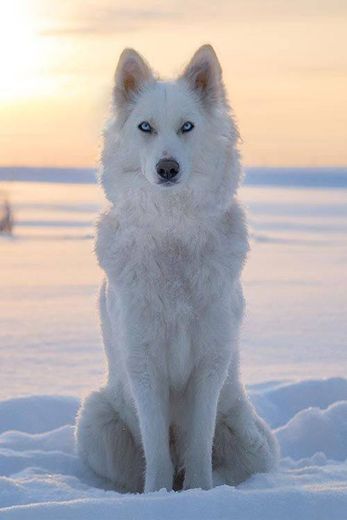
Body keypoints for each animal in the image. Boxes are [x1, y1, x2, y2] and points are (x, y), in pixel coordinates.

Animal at [77, 43, 280, 492]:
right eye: (145, 127)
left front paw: (199, 494)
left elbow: (199, 443)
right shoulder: (144, 363)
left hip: (250, 437)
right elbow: (156, 450)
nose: (167, 168)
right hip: (96, 421)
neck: (173, 233)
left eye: (187, 127)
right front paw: (158, 496)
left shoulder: (210, 363)